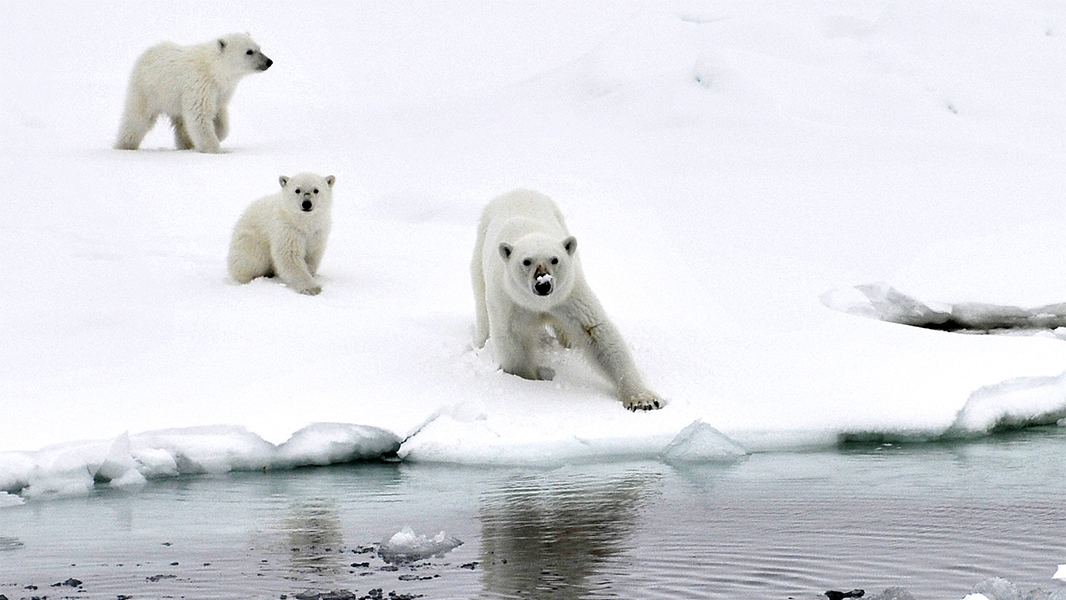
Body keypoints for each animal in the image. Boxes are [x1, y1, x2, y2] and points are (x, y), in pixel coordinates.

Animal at [114, 33, 272, 153]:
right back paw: (124, 145)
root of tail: (146, 53)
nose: (269, 61)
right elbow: (199, 114)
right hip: (147, 90)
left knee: (181, 123)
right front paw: (214, 149)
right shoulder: (200, 84)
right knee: (136, 119)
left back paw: (186, 144)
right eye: (249, 51)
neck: (213, 69)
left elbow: (220, 116)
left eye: (259, 48)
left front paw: (217, 134)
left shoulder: (221, 90)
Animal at [473, 189, 660, 411]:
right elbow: (513, 341)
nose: (543, 284)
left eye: (555, 259)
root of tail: (518, 191)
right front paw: (529, 383)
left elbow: (596, 333)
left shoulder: (568, 295)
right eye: (526, 261)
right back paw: (482, 341)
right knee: (482, 306)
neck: (538, 303)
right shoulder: (510, 302)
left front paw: (643, 400)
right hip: (480, 251)